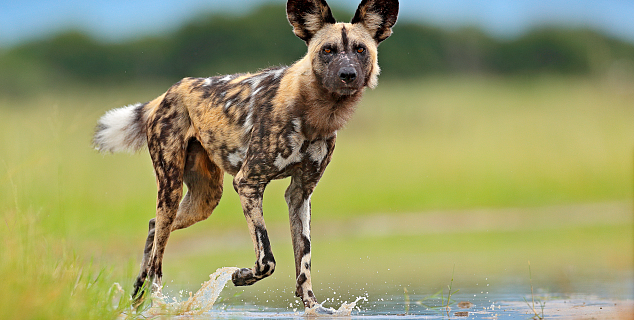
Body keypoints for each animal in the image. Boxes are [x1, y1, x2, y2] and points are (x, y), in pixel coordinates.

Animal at [93, 0, 396, 312]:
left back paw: (138, 297)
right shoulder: (248, 183)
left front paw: (314, 307)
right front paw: (241, 276)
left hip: (204, 200)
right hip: (171, 189)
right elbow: (267, 260)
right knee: (158, 258)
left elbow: (304, 261)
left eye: (360, 49)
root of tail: (168, 93)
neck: (316, 112)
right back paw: (157, 304)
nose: (347, 74)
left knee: (154, 229)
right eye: (328, 50)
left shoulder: (300, 193)